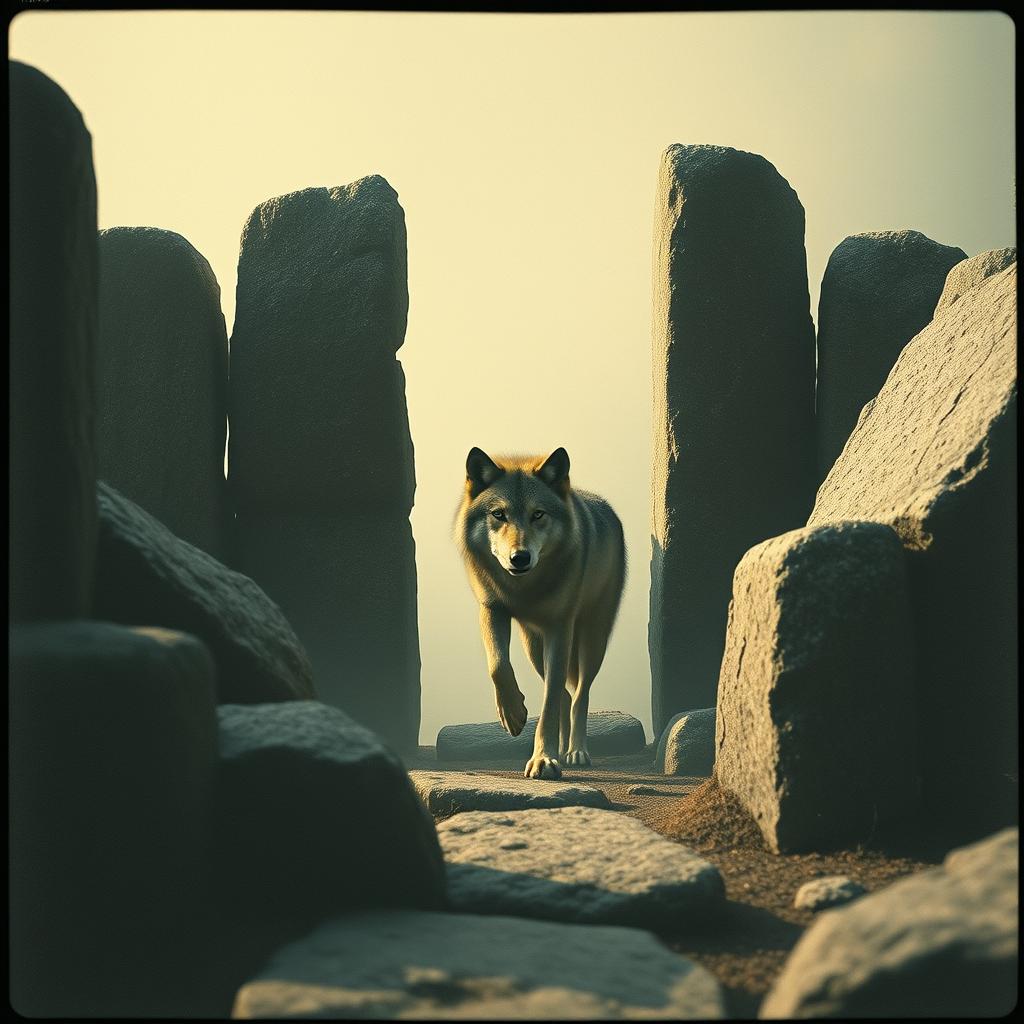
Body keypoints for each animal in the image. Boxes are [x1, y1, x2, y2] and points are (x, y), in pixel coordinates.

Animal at [454, 446, 626, 779]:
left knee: (578, 695)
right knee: (564, 694)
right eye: (499, 514)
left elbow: (549, 704)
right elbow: (498, 666)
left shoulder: (560, 628)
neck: (524, 589)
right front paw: (513, 714)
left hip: (591, 639)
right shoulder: (492, 609)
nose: (519, 557)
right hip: (533, 646)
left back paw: (575, 752)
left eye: (538, 514)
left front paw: (544, 760)